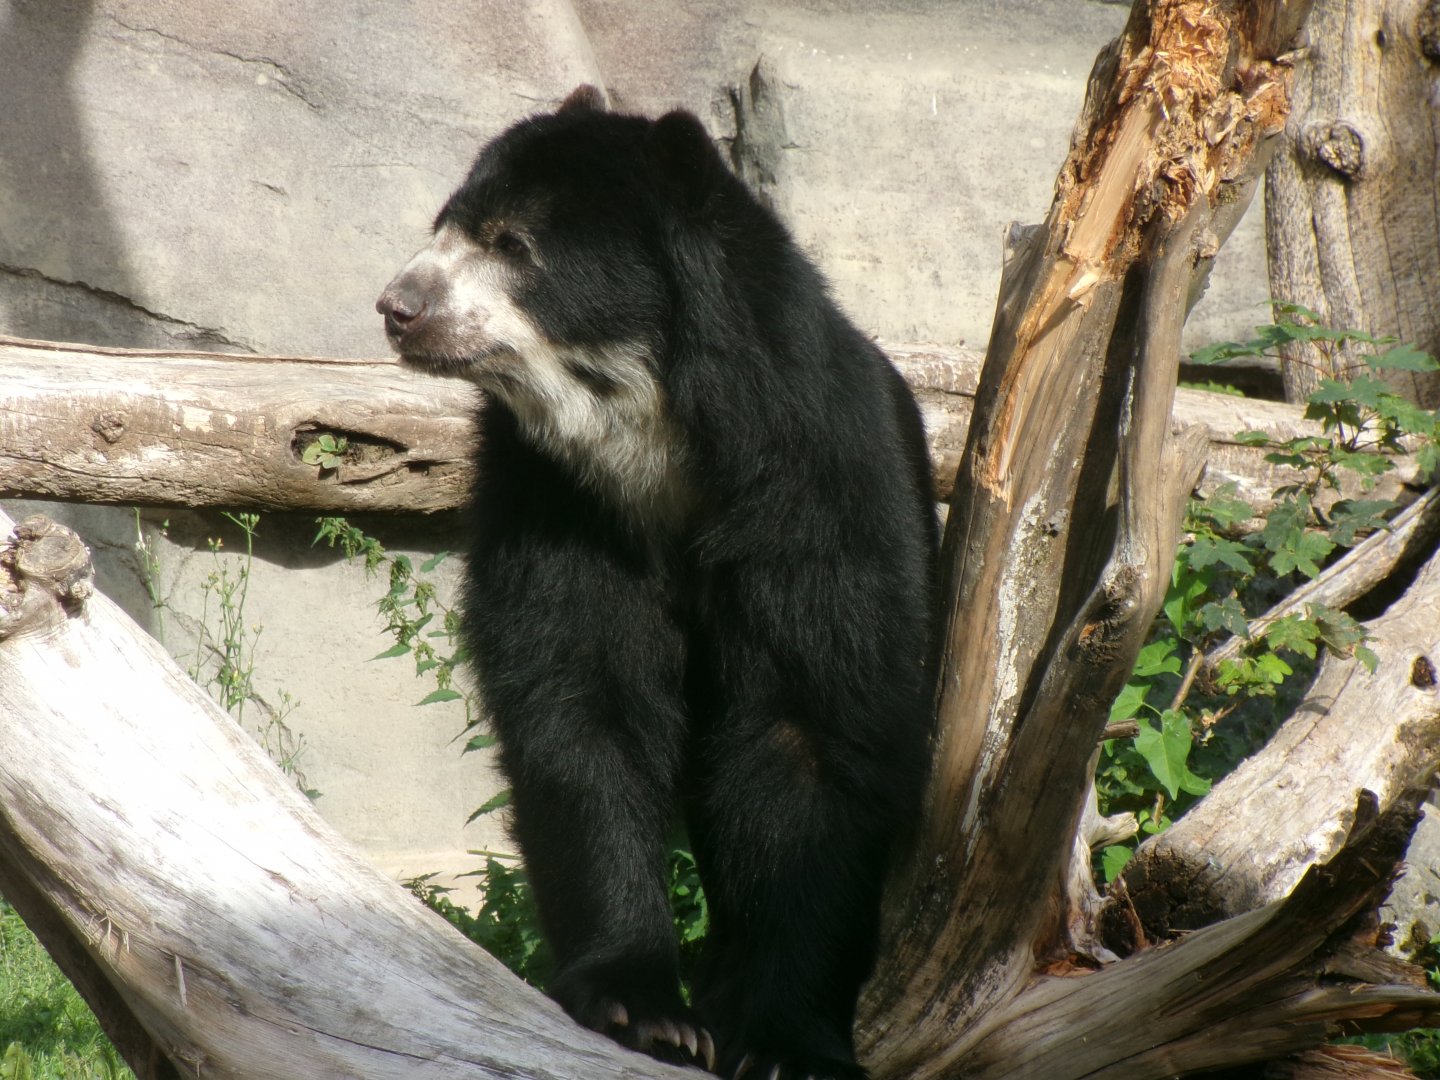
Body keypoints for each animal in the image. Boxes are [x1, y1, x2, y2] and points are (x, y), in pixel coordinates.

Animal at [377, 85, 937, 1080]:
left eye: (512, 243)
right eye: (446, 225)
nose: (398, 308)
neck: (655, 441)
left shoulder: (818, 482)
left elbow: (817, 724)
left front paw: (785, 1039)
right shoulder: (557, 499)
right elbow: (580, 701)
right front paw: (643, 1010)